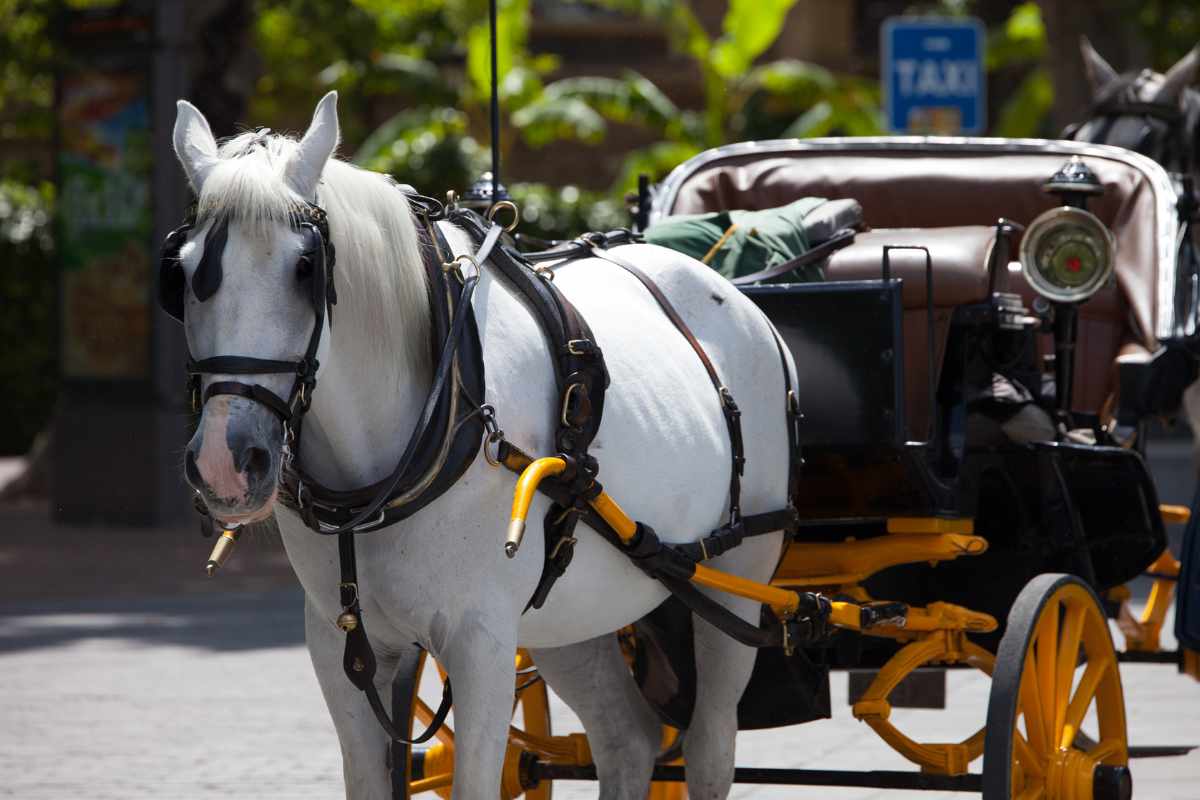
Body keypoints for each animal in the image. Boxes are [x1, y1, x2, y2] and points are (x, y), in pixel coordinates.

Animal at [175, 90, 796, 796]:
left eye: (305, 268)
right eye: (184, 274)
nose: (226, 463)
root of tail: (742, 304)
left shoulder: (482, 643)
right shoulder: (342, 645)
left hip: (738, 576)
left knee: (710, 748)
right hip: (571, 612)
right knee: (628, 739)